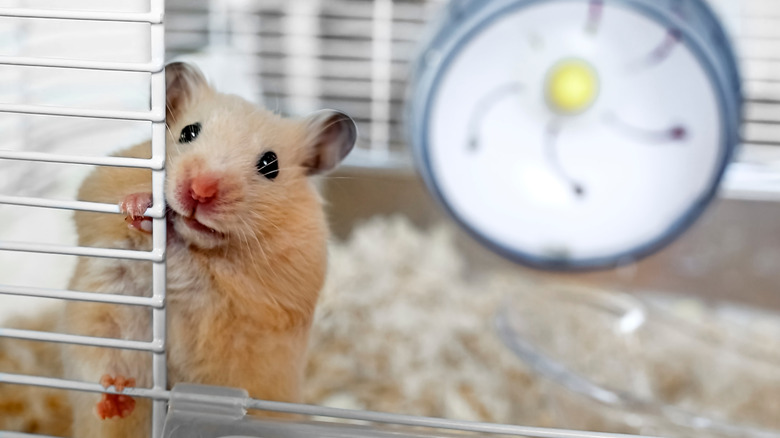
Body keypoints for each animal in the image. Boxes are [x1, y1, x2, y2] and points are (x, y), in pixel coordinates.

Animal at [62, 62, 358, 438]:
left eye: (270, 165)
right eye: (188, 132)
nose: (199, 192)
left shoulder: (257, 296)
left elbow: (194, 270)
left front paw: (171, 232)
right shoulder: (98, 210)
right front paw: (139, 207)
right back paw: (115, 401)